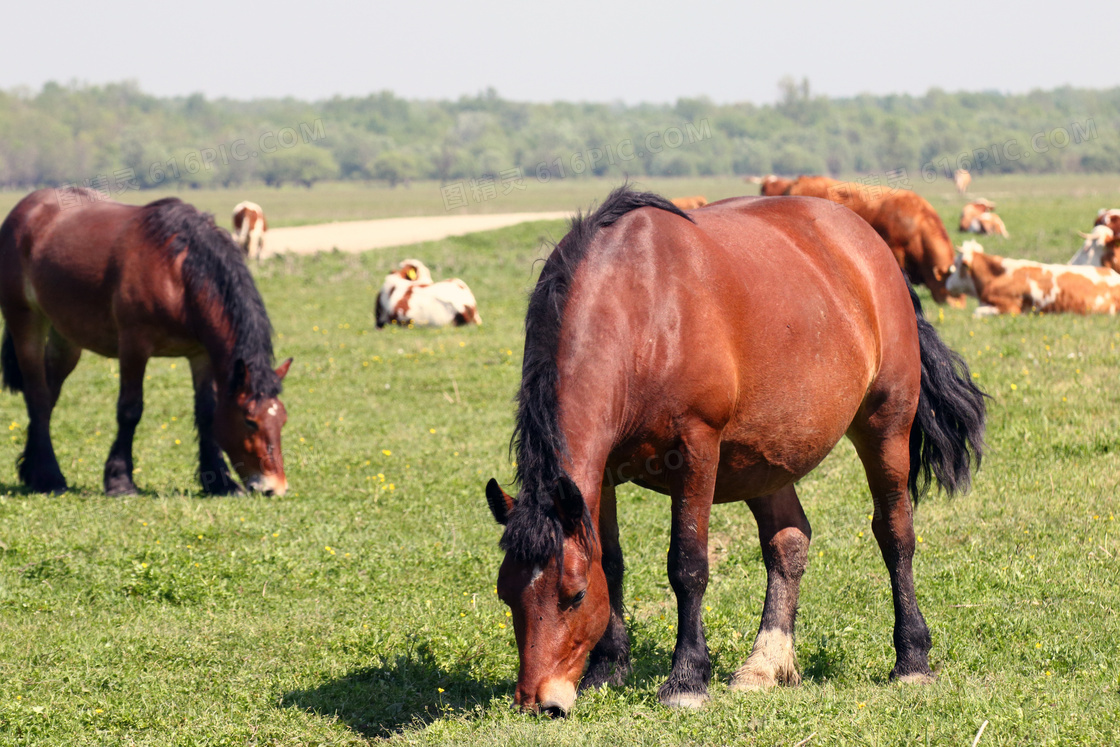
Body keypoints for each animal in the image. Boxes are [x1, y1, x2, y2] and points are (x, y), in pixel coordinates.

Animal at [0, 185, 293, 497]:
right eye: (249, 420)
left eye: (282, 419)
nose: (275, 487)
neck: (177, 275)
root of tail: (26, 208)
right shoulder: (134, 346)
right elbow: (130, 409)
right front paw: (120, 480)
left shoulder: (200, 354)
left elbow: (206, 413)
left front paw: (220, 480)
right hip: (26, 321)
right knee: (37, 394)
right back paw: (49, 477)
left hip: (65, 337)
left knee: (49, 395)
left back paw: (32, 469)